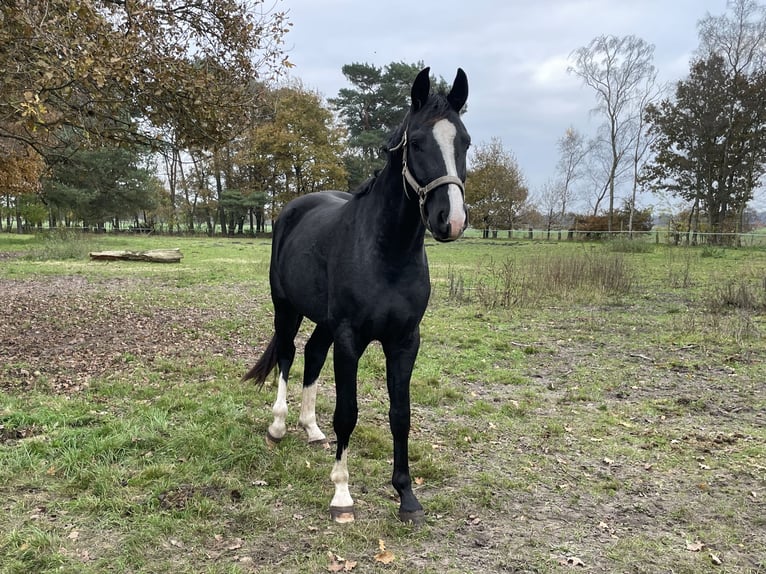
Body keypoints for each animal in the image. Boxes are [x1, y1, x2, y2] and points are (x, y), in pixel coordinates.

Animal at [246, 68, 472, 528]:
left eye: (465, 142)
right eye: (416, 141)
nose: (451, 219)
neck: (386, 252)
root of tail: (291, 210)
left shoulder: (404, 341)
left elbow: (400, 415)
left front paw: (406, 497)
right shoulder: (351, 339)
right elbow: (347, 413)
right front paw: (342, 495)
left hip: (324, 322)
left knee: (312, 354)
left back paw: (311, 429)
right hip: (286, 308)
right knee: (287, 354)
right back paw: (278, 427)